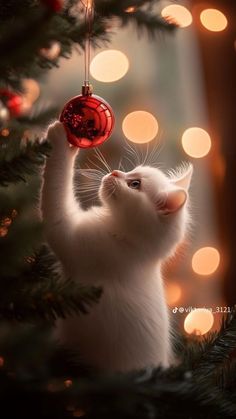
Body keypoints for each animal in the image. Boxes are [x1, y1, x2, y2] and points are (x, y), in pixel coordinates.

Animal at [41, 122, 192, 374]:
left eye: (134, 184)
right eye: (132, 172)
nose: (114, 173)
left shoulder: (68, 236)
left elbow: (56, 182)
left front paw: (60, 138)